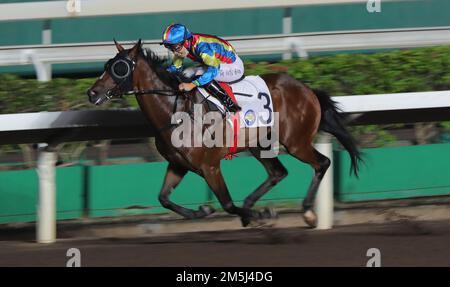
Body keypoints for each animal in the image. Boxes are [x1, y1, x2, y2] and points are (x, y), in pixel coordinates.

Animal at [87, 40, 362, 228]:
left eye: (120, 68)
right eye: (107, 65)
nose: (92, 93)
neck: (175, 111)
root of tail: (308, 90)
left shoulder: (210, 166)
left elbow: (228, 204)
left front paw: (258, 216)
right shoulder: (178, 165)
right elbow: (163, 198)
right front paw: (203, 212)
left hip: (296, 142)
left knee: (322, 163)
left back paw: (307, 211)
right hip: (260, 145)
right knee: (278, 172)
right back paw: (253, 204)